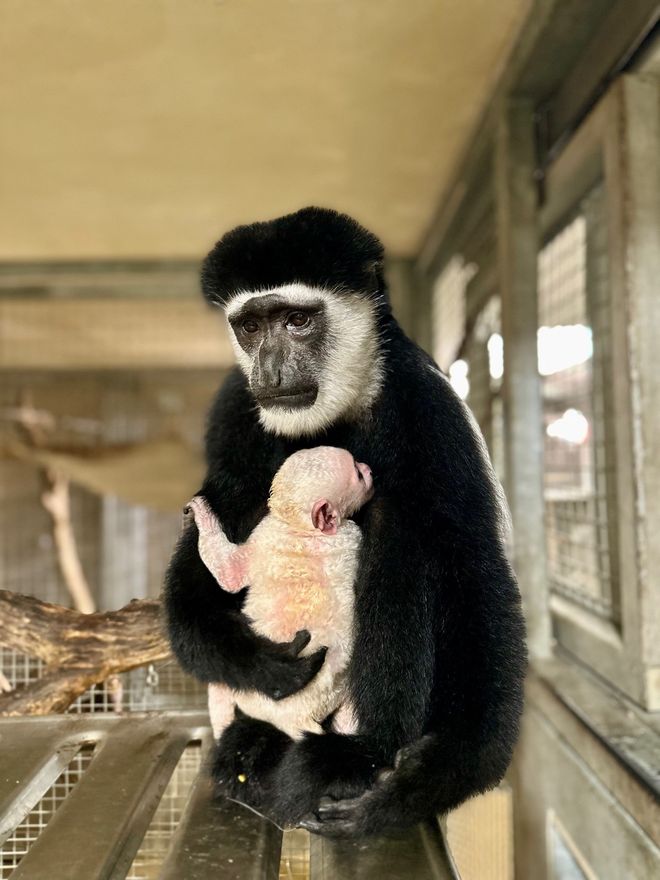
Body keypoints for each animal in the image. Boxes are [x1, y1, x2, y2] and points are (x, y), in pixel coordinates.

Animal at [186, 446, 374, 742]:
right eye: (357, 474)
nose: (368, 469)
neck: (299, 527)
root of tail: (293, 720)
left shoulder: (266, 535)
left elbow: (230, 574)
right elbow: (230, 576)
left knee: (220, 686)